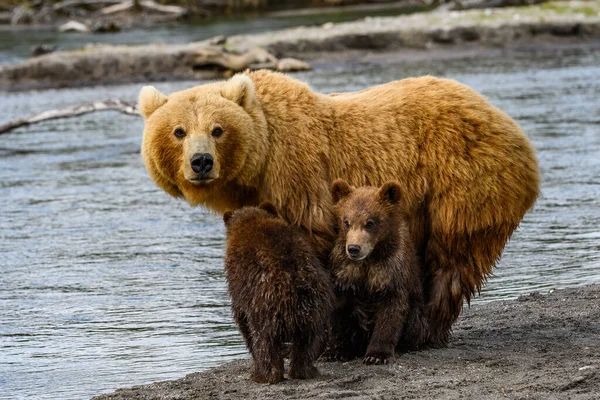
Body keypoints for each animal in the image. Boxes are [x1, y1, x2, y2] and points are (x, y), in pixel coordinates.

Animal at [139, 71, 540, 344]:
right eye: (178, 131)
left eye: (218, 129)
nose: (201, 161)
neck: (259, 163)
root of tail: (505, 120)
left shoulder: (298, 177)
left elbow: (314, 249)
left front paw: (328, 337)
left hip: (462, 181)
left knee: (451, 257)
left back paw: (422, 329)